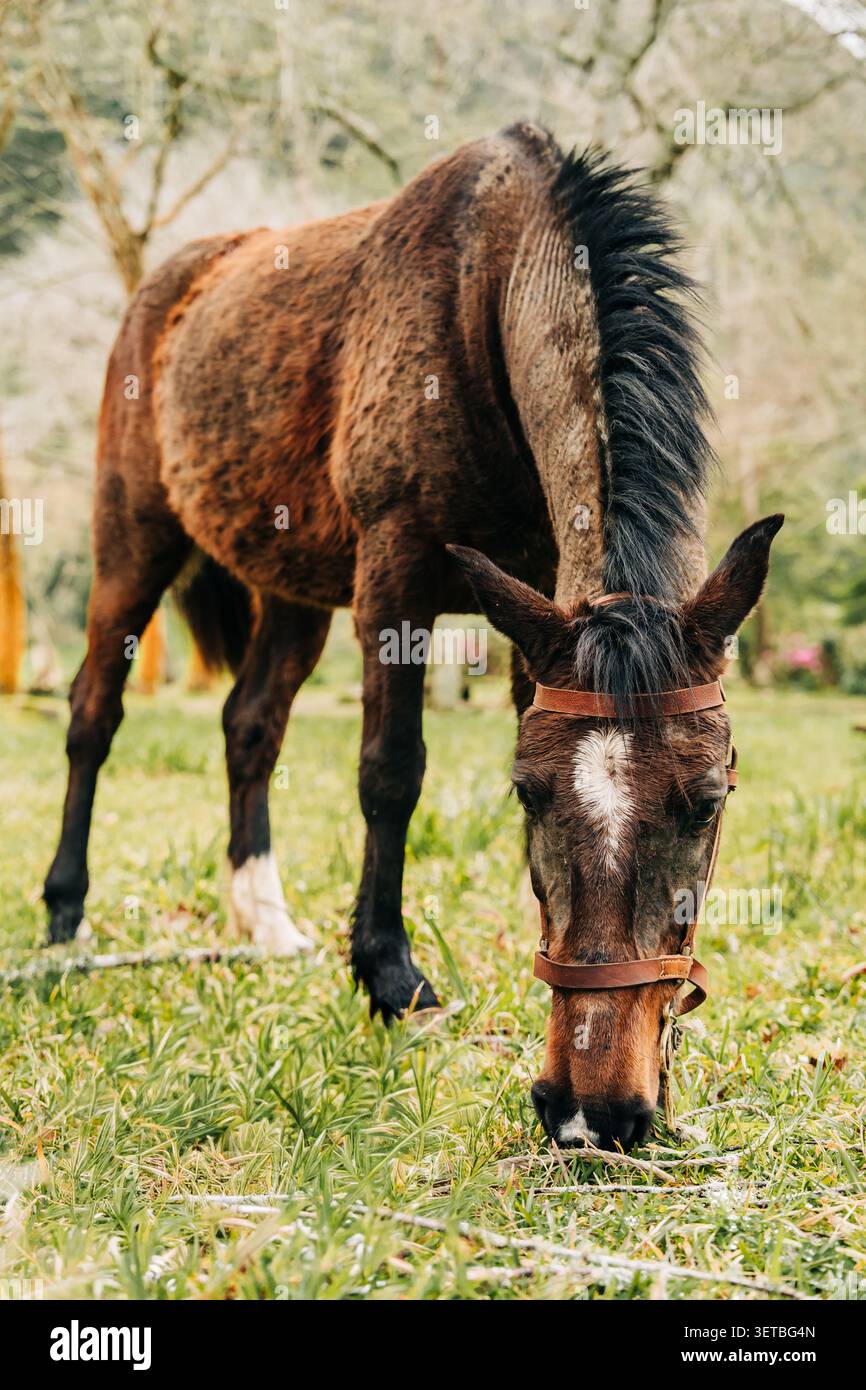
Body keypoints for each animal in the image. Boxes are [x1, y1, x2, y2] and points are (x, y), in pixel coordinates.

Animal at [44, 121, 782, 1152]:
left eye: (709, 802)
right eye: (527, 793)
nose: (593, 1111)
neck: (485, 293)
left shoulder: (534, 610)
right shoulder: (393, 581)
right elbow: (391, 773)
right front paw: (390, 976)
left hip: (291, 590)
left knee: (250, 726)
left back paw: (264, 918)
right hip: (132, 544)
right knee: (93, 717)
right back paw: (63, 912)